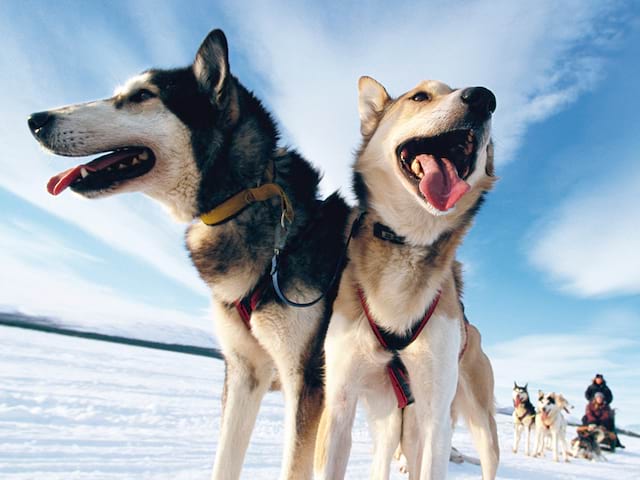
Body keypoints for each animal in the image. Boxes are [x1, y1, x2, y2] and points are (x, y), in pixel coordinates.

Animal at [316, 79, 500, 480]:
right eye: (420, 96)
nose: (483, 98)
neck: (409, 243)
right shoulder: (338, 404)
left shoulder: (434, 418)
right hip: (389, 424)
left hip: (477, 423)